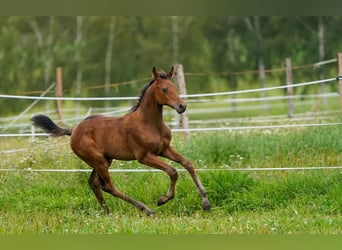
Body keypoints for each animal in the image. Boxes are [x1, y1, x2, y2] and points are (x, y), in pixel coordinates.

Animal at [30, 67, 210, 216]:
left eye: (175, 88)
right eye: (164, 89)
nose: (182, 106)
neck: (150, 123)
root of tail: (73, 130)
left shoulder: (164, 149)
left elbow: (187, 163)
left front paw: (206, 203)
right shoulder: (144, 156)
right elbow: (172, 171)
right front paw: (163, 199)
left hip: (105, 159)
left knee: (95, 183)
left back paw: (108, 213)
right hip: (98, 160)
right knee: (108, 186)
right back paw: (146, 209)